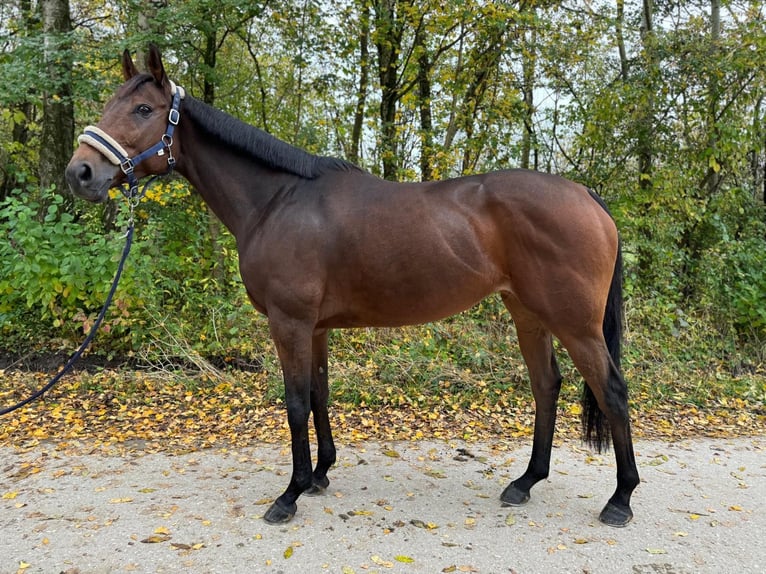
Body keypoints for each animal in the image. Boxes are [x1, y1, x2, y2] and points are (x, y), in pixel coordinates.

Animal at [66, 45, 640, 528]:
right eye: (112, 102)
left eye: (143, 109)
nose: (81, 173)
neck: (276, 201)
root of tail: (586, 195)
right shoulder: (315, 328)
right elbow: (319, 395)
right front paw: (320, 475)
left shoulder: (290, 323)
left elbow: (296, 402)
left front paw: (289, 495)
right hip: (528, 314)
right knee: (547, 386)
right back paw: (525, 482)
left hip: (575, 323)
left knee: (611, 390)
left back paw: (620, 499)